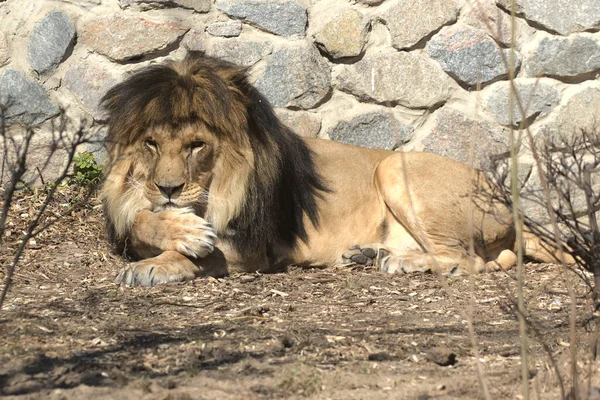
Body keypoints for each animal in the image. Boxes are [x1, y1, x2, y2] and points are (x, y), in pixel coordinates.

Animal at [101, 55, 568, 288]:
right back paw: (370, 254)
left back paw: (402, 264)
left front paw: (157, 263)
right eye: (151, 144)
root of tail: (510, 203)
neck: (220, 184)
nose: (168, 188)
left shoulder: (252, 249)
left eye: (197, 145)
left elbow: (193, 252)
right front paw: (178, 231)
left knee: (470, 260)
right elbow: (141, 219)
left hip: (395, 166)